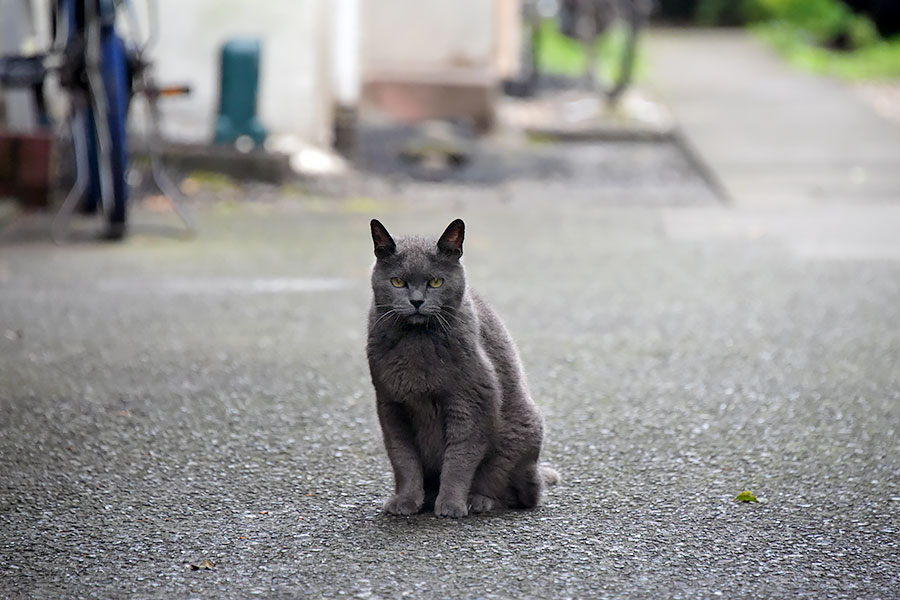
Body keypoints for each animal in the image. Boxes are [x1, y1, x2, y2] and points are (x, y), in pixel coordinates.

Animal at [364, 218, 556, 516]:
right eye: (397, 281)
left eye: (435, 281)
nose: (416, 301)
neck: (417, 344)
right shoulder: (390, 404)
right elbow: (403, 458)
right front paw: (405, 501)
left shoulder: (471, 399)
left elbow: (460, 456)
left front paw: (451, 505)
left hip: (523, 434)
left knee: (515, 492)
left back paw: (478, 500)